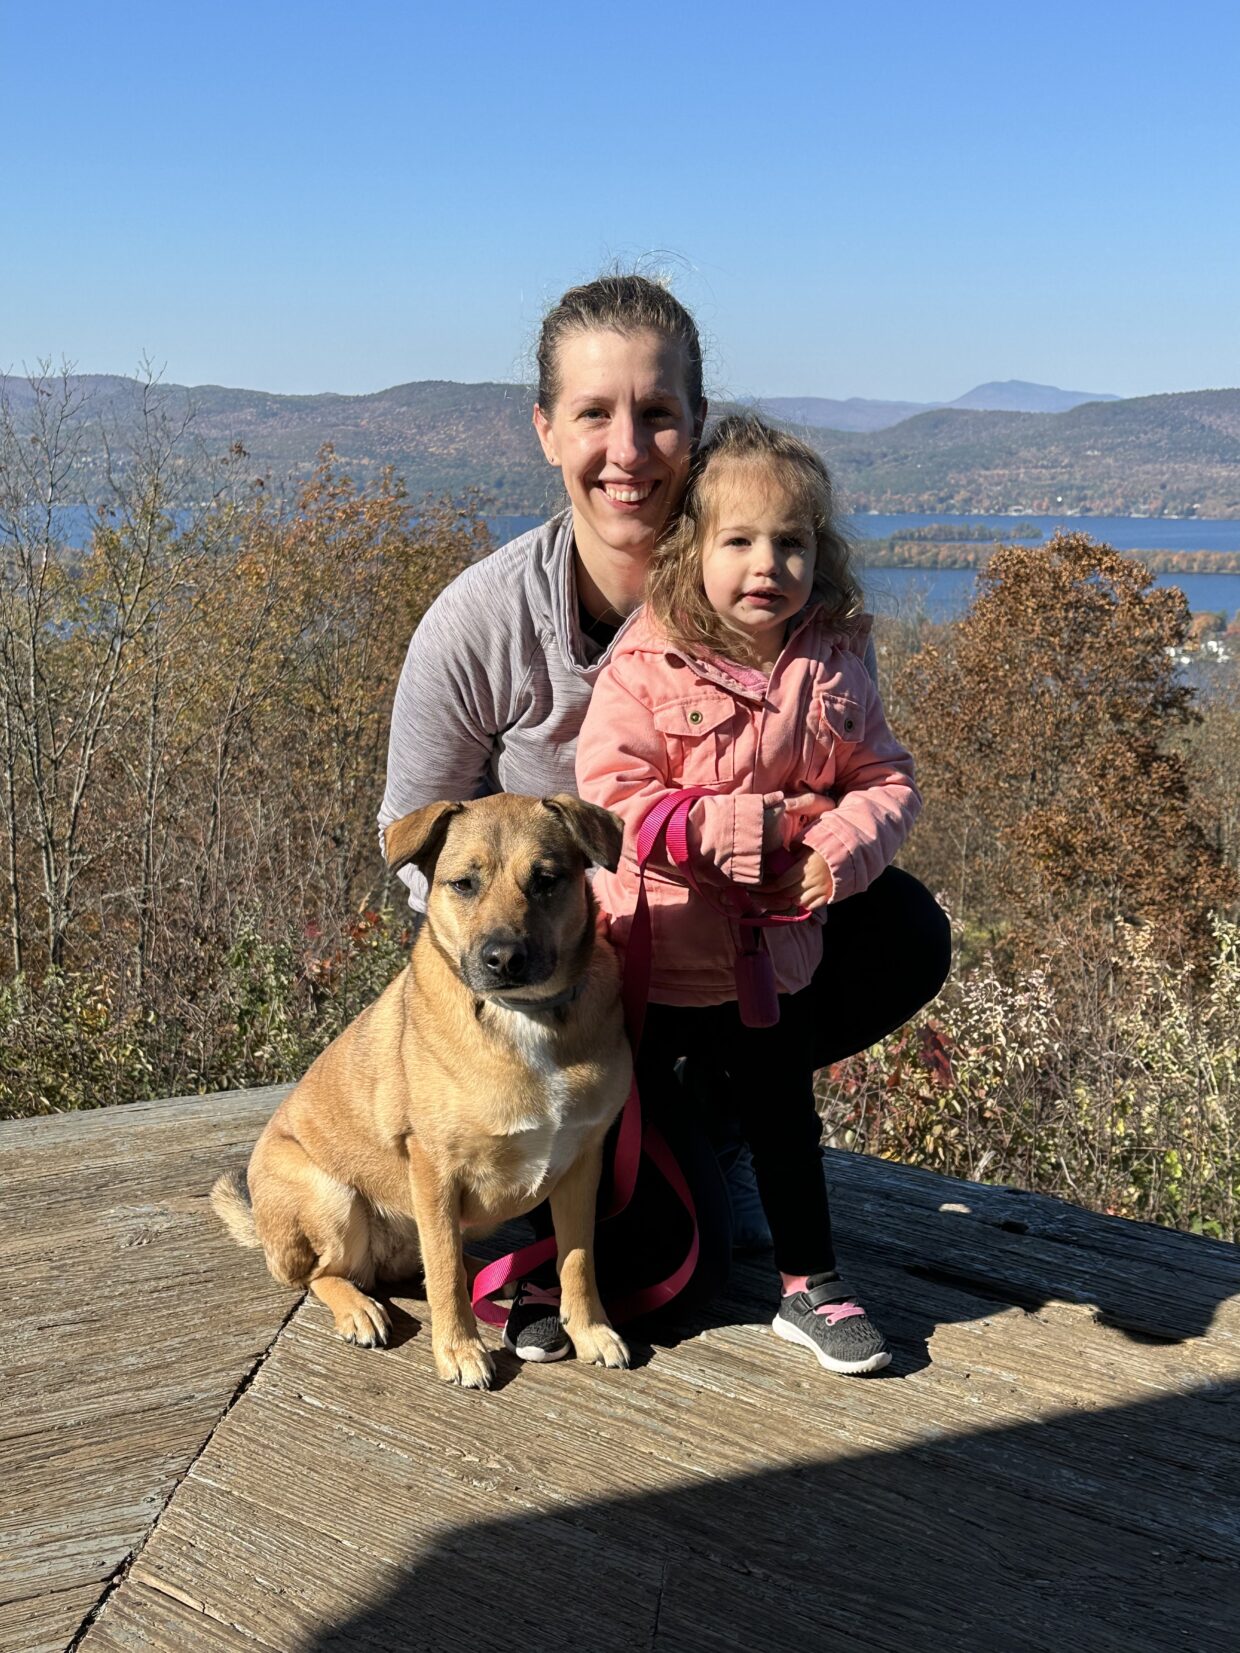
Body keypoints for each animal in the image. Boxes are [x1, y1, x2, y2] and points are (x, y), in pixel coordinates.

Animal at [211, 793, 631, 1388]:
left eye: (547, 880)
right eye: (463, 884)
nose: (504, 958)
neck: (523, 1016)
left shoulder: (582, 1166)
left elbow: (577, 1260)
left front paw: (590, 1328)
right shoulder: (434, 1168)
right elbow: (446, 1277)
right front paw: (458, 1349)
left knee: (421, 1263)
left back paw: (497, 1274)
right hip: (333, 1197)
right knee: (326, 1274)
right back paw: (359, 1308)